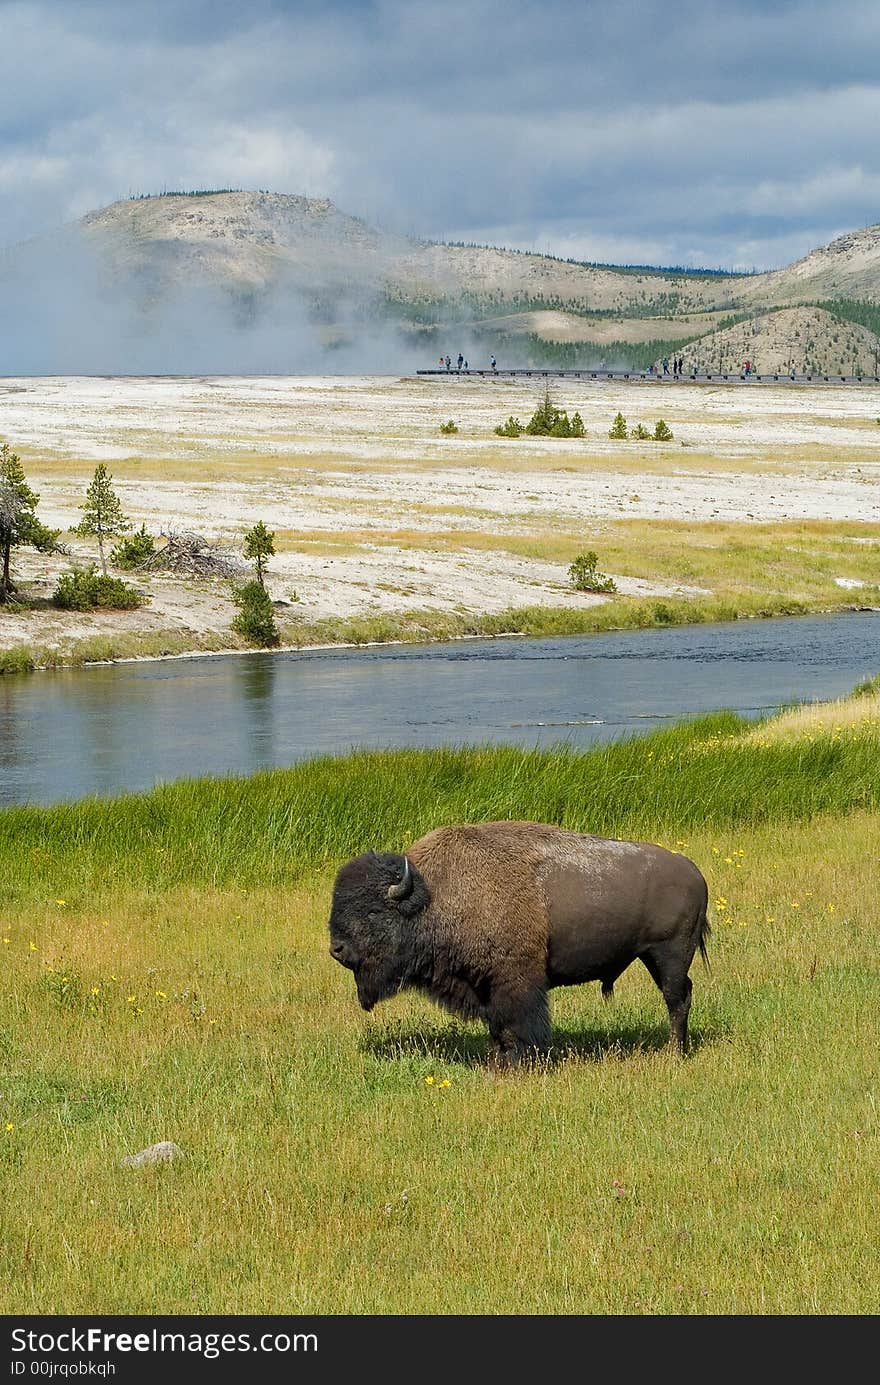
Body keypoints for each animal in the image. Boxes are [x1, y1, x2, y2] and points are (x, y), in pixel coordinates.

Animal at [327, 819, 715, 1058]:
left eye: (373, 912)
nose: (337, 949)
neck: (434, 895)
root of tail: (694, 872)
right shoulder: (483, 986)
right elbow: (496, 1027)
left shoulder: (516, 982)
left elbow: (517, 1026)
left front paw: (515, 1063)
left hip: (669, 955)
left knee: (677, 999)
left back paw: (674, 1053)